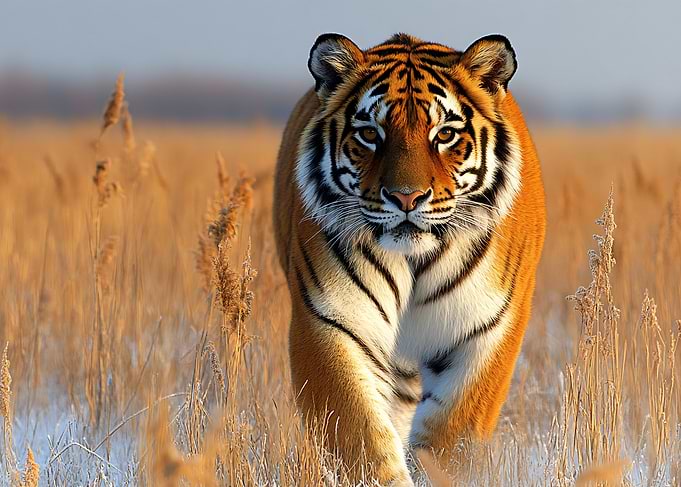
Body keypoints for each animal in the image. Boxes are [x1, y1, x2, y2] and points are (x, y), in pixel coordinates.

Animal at [273, 32, 546, 486]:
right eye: (370, 134)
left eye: (445, 134)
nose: (406, 197)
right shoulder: (331, 321)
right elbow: (360, 435)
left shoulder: (486, 328)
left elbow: (451, 439)